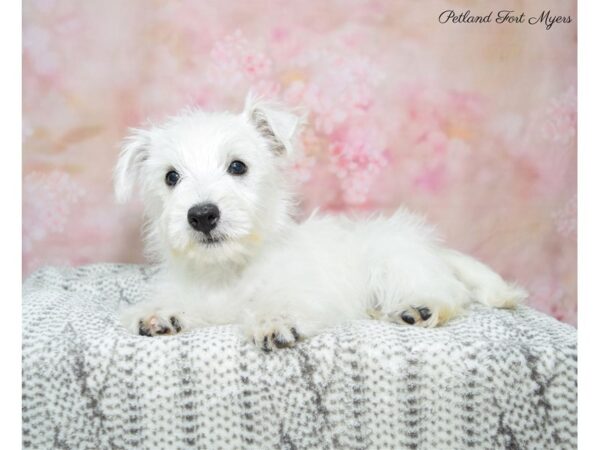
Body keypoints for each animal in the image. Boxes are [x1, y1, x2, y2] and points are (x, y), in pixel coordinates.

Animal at [115, 95, 528, 352]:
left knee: (447, 293)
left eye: (238, 167)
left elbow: (284, 303)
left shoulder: (305, 292)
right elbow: (181, 302)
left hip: (395, 260)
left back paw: (418, 308)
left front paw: (275, 322)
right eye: (171, 177)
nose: (202, 215)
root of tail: (435, 252)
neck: (229, 269)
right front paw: (159, 314)